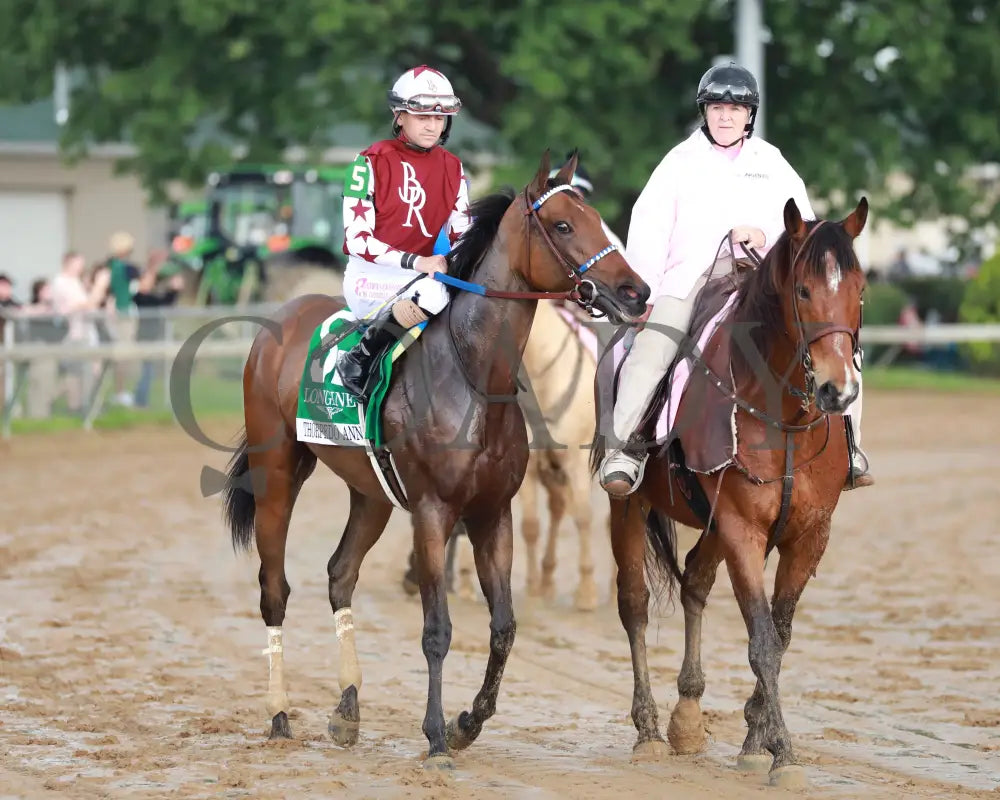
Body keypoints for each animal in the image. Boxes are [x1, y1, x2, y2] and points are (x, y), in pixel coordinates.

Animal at [221, 150, 648, 768]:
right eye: (565, 225)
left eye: (601, 222)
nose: (636, 292)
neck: (473, 375)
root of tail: (285, 315)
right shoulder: (432, 512)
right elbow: (436, 630)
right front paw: (438, 737)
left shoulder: (492, 513)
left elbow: (504, 626)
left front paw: (469, 721)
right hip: (278, 473)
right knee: (274, 589)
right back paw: (279, 715)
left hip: (371, 493)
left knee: (340, 574)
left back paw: (347, 709)